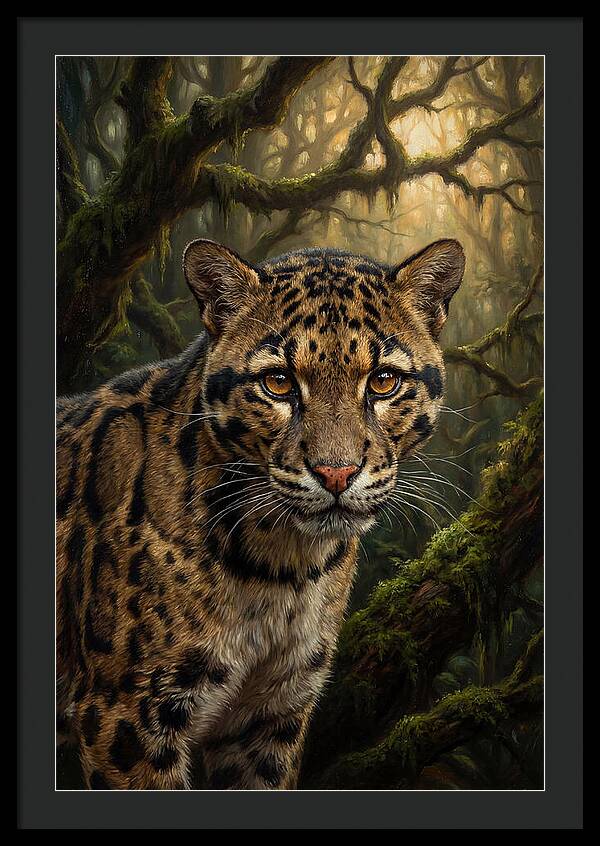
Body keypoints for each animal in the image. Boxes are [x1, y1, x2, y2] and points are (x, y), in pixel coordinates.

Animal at [56, 237, 465, 790]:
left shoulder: (271, 713)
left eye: (383, 382)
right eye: (278, 383)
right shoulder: (127, 713)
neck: (282, 566)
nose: (336, 473)